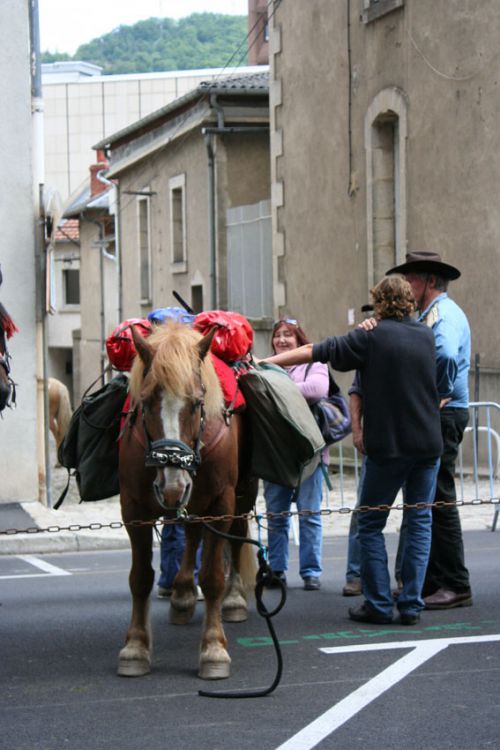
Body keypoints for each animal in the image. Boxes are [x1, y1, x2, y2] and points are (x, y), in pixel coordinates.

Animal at [117, 322, 258, 680]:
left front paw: (213, 649)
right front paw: (135, 646)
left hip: (241, 492)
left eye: (196, 403)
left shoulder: (221, 504)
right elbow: (140, 578)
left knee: (236, 537)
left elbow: (212, 577)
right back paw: (181, 595)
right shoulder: (133, 508)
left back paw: (234, 599)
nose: (172, 486)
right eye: (146, 402)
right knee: (192, 534)